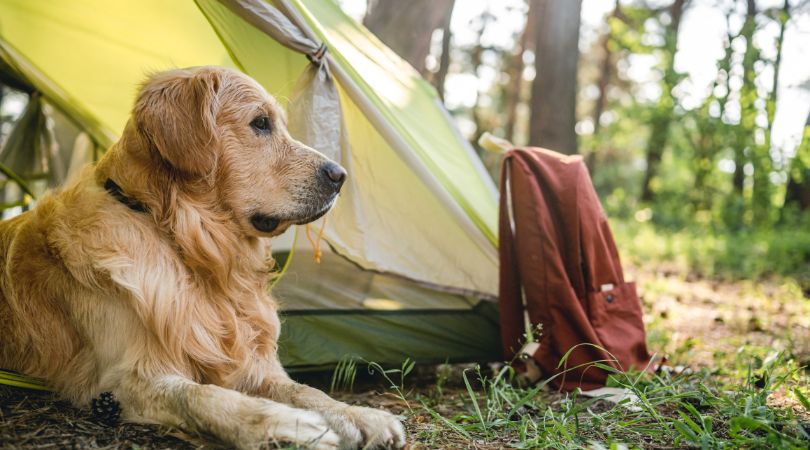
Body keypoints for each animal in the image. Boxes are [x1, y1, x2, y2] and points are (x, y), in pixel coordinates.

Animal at [0, 65, 404, 448]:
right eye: (260, 123)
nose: (340, 176)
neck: (191, 247)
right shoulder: (121, 382)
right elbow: (200, 396)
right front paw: (282, 423)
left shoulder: (253, 365)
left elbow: (304, 390)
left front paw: (359, 415)